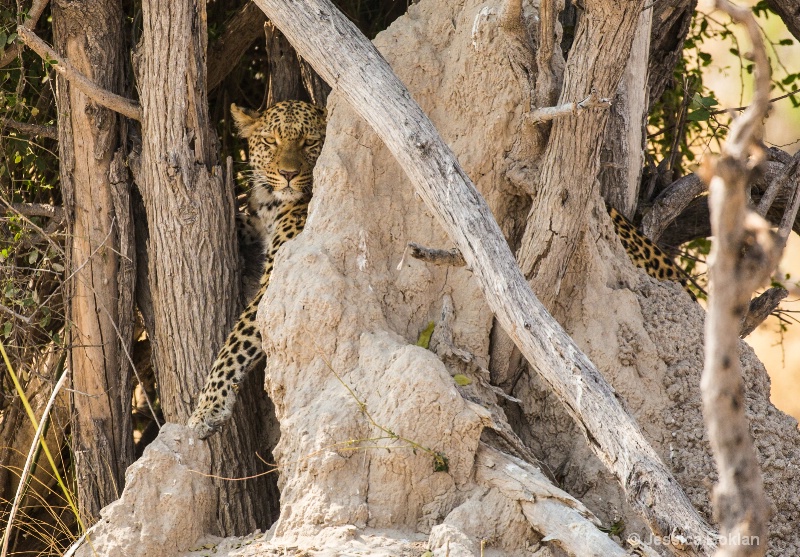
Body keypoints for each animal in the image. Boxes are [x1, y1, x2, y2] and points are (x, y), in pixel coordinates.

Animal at [188, 101, 324, 438]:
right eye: (270, 141)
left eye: (309, 142)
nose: (288, 174)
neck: (274, 206)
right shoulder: (255, 224)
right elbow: (238, 220)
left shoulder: (273, 289)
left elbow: (231, 346)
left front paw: (207, 409)